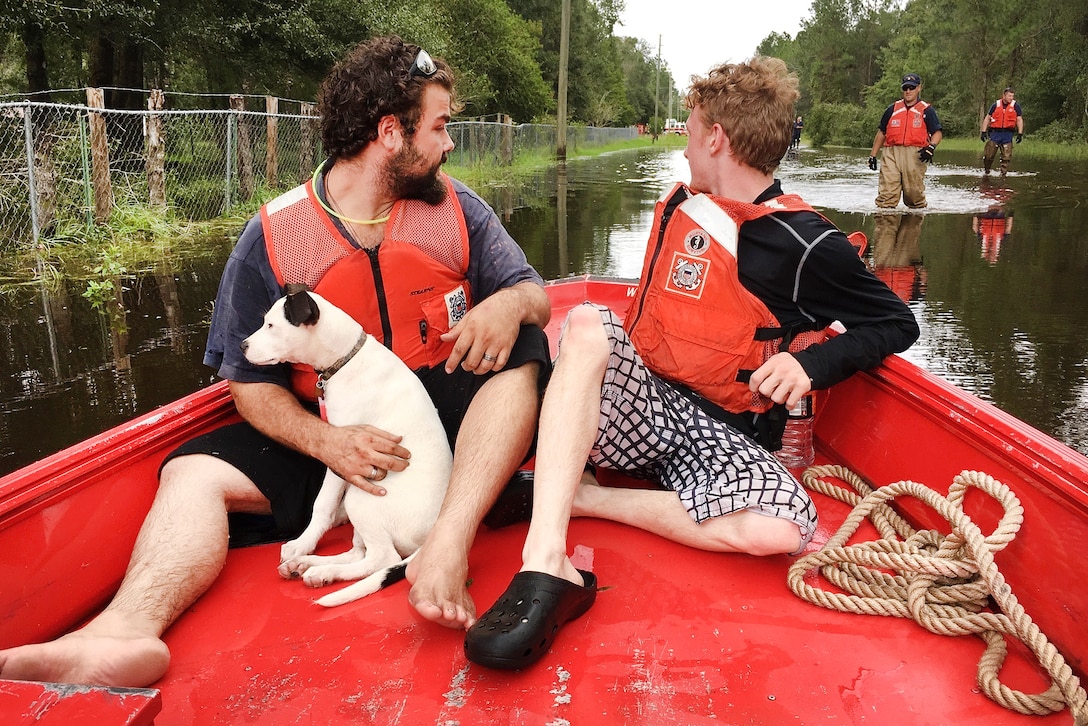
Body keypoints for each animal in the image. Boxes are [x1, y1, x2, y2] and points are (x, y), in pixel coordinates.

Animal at [241, 285, 450, 609]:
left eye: (272, 325)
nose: (242, 346)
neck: (347, 358)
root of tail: (431, 533)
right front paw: (303, 553)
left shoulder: (342, 454)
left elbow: (323, 504)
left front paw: (302, 543)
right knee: (360, 553)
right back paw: (309, 567)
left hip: (361, 500)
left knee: (381, 559)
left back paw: (318, 569)